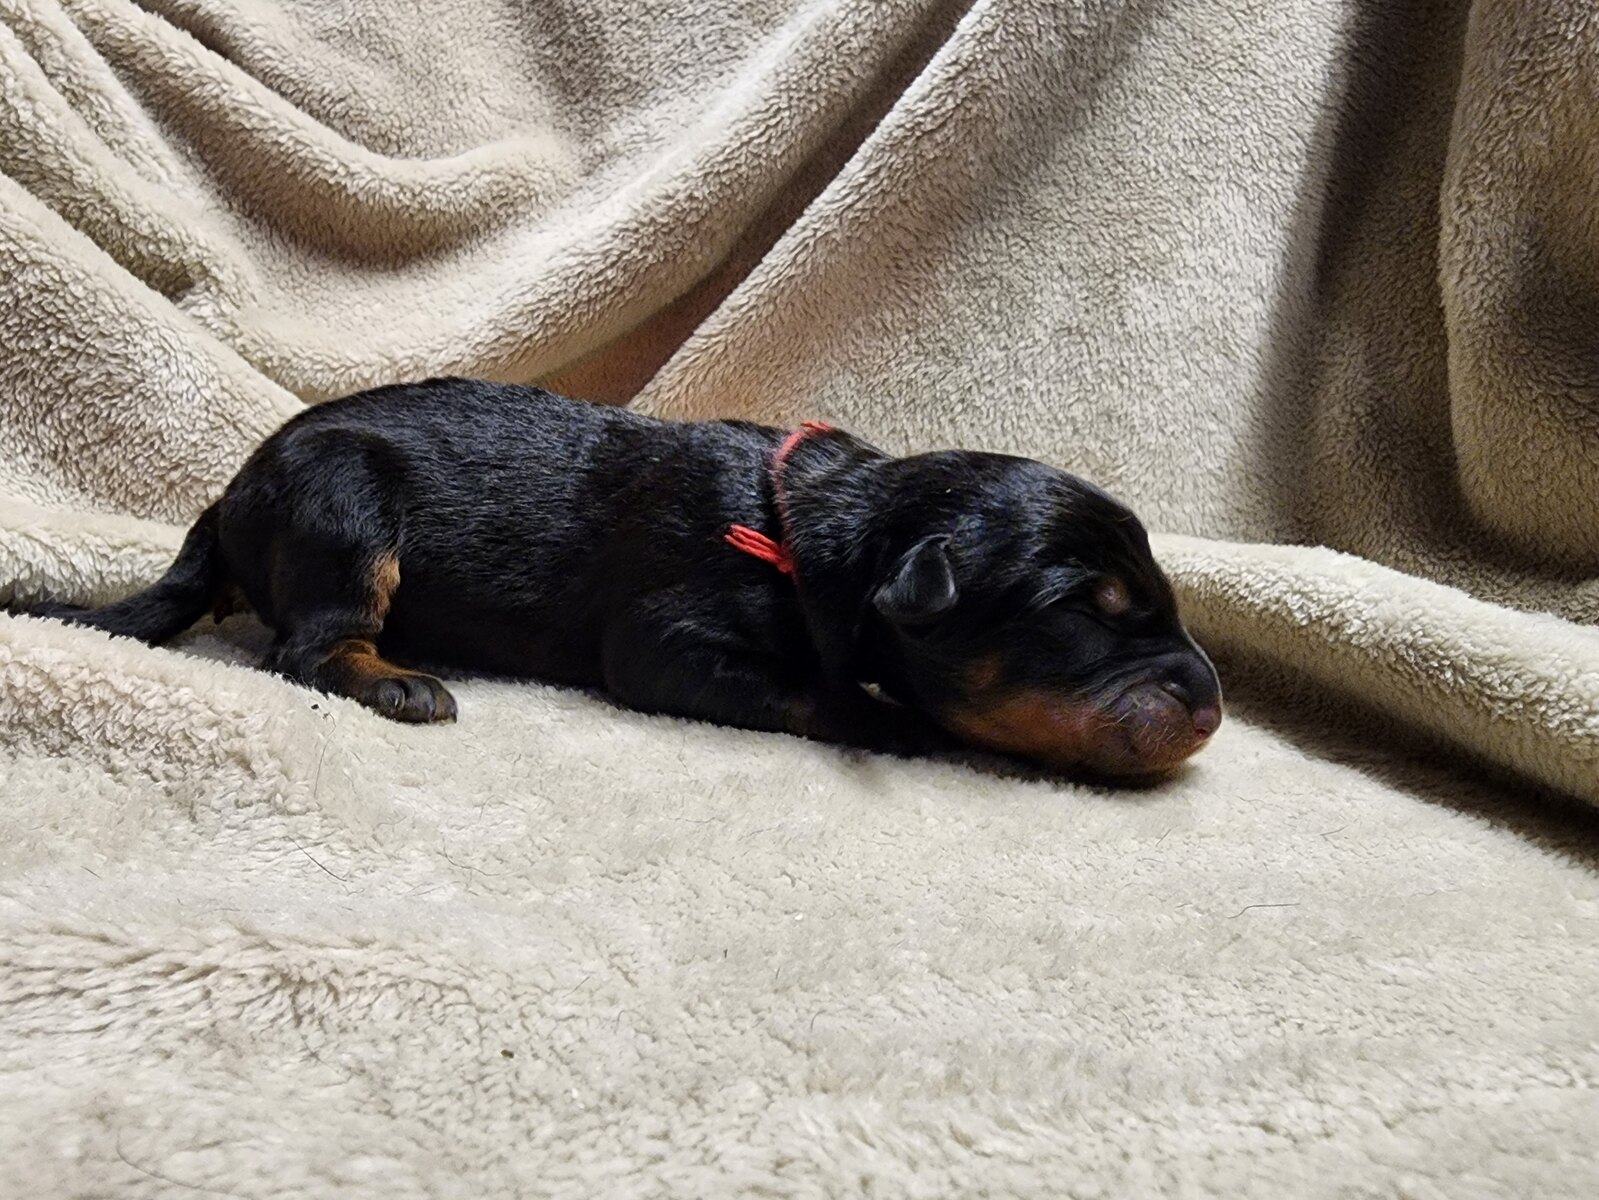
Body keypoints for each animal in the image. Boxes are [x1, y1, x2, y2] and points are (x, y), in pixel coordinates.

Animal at [27, 378, 1222, 777]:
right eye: (1085, 616)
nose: (1211, 708)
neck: (805, 532)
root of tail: (226, 502)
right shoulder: (663, 642)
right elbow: (809, 687)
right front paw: (890, 717)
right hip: (343, 506)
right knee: (307, 647)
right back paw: (397, 681)